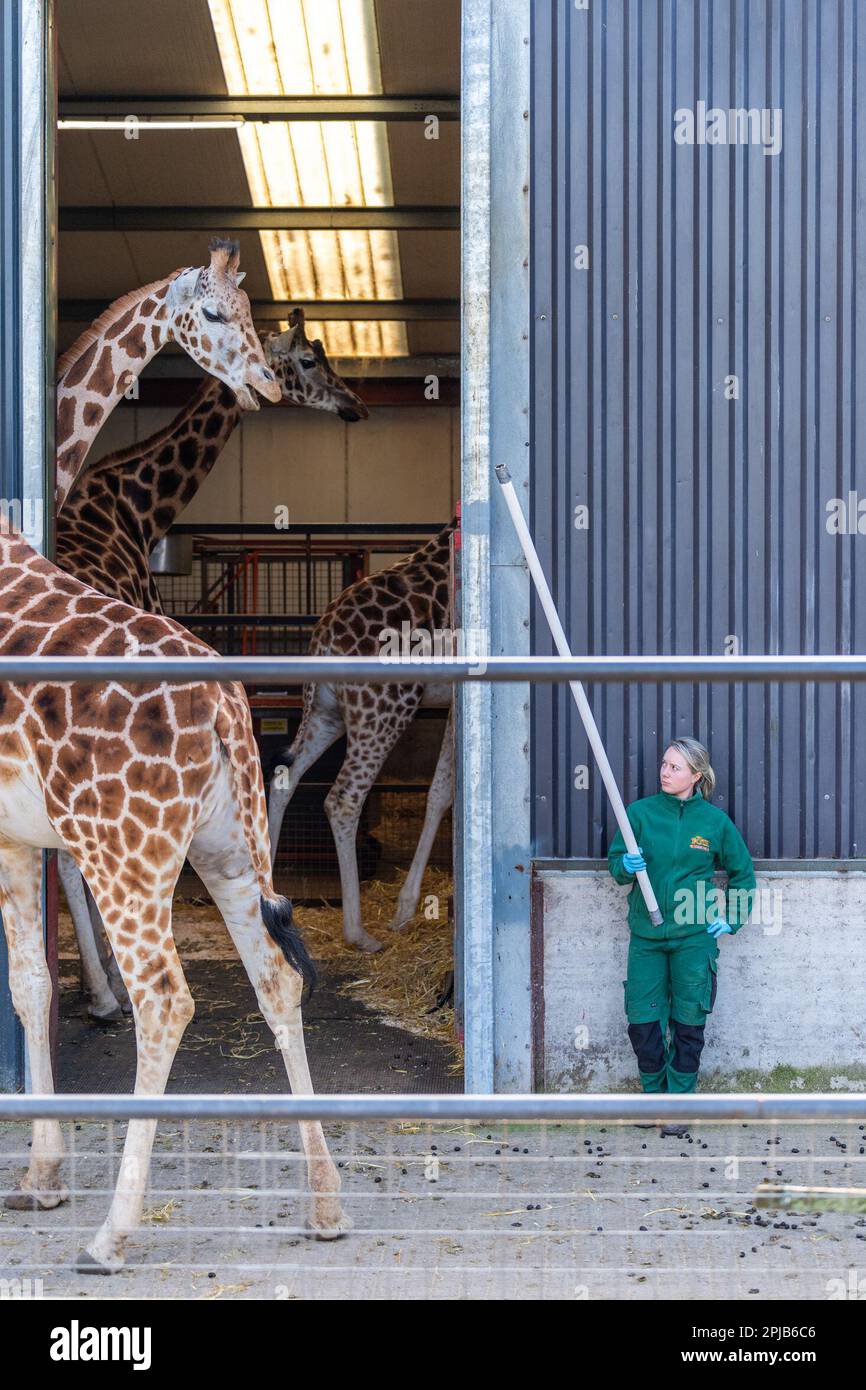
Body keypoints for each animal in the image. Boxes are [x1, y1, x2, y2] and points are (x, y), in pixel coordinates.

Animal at [0, 522, 348, 1273]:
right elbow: (31, 984)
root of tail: (223, 708)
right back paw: (326, 1206)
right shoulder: (14, 833)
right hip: (230, 846)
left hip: (121, 846)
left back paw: (110, 1237)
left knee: (163, 1000)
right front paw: (42, 1177)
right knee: (277, 980)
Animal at [265, 525, 458, 950]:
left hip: (326, 711)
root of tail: (323, 640)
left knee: (283, 777)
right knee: (342, 799)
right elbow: (442, 792)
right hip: (385, 709)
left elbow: (440, 791)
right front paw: (404, 911)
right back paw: (358, 933)